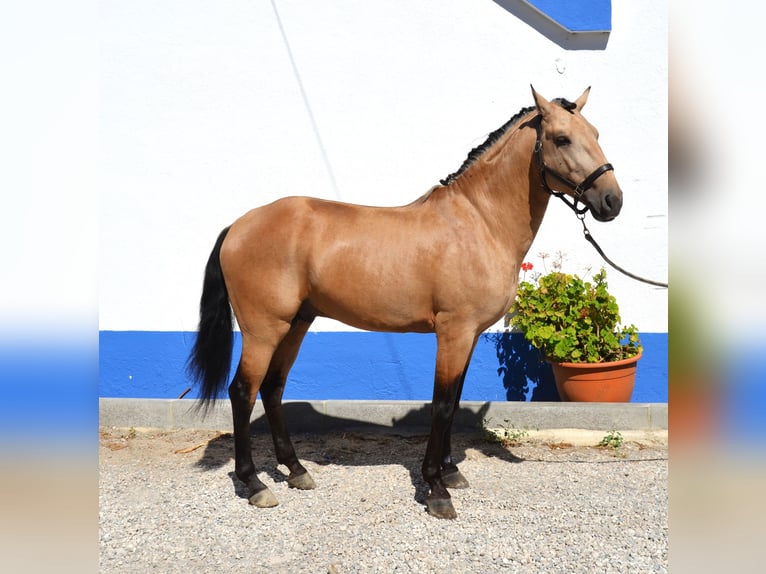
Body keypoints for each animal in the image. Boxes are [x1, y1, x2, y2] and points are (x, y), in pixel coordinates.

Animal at [190, 86, 624, 520]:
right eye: (561, 139)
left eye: (596, 133)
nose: (612, 201)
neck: (479, 223)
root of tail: (238, 225)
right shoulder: (453, 331)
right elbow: (443, 404)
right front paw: (436, 488)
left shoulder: (466, 336)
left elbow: (454, 399)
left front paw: (450, 473)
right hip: (264, 329)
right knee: (243, 392)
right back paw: (254, 483)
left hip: (297, 323)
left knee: (272, 388)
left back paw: (296, 470)